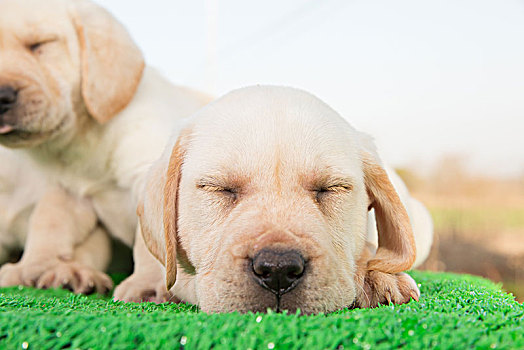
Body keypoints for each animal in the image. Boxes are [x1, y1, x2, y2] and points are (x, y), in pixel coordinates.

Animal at [0, 0, 209, 298]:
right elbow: (48, 222)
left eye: (40, 44)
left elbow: (149, 241)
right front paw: (37, 265)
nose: (1, 96)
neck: (85, 140)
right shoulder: (69, 193)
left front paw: (148, 284)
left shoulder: (148, 174)